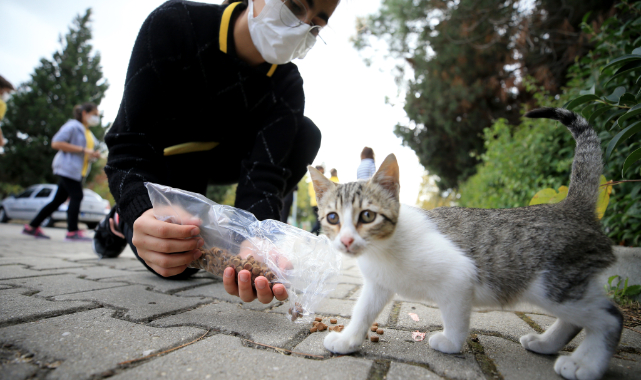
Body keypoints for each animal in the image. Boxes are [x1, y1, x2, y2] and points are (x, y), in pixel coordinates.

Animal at [308, 107, 620, 380]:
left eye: (367, 216)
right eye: (333, 218)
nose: (347, 240)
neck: (383, 250)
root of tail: (571, 206)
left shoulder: (458, 276)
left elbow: (455, 315)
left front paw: (451, 342)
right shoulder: (378, 283)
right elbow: (363, 311)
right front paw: (348, 340)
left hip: (552, 285)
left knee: (610, 317)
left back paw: (585, 365)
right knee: (577, 319)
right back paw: (546, 344)